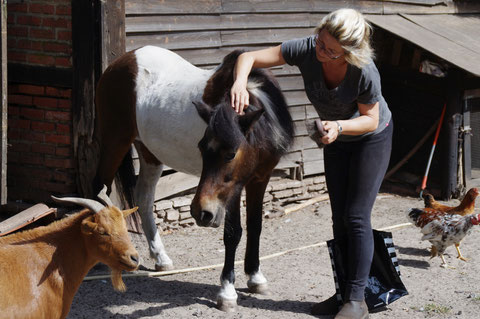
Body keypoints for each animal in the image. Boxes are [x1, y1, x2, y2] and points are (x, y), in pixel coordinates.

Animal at [94, 46, 294, 312]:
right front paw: (227, 291)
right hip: (114, 142)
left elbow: (255, 225)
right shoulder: (232, 189)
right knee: (98, 189)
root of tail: (119, 63)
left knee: (144, 199)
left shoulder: (259, 179)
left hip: (150, 154)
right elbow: (233, 232)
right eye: (201, 148)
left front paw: (255, 277)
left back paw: (161, 258)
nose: (200, 213)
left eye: (231, 153)